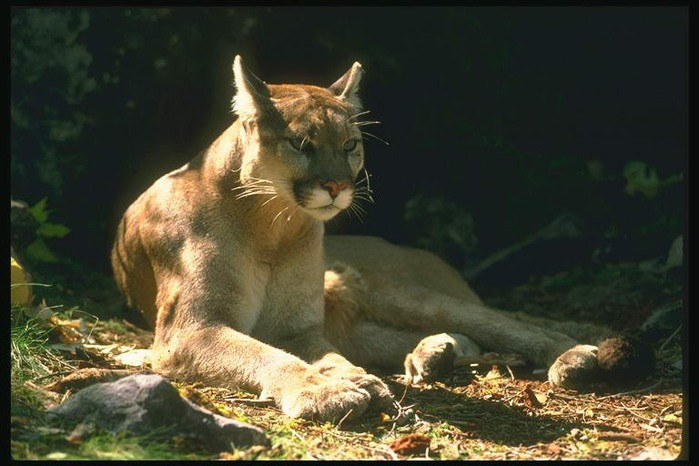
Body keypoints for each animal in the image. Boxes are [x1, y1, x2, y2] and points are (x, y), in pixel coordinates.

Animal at [110, 55, 652, 422]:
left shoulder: (294, 326)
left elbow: (308, 353)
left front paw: (342, 382)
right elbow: (266, 354)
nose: (335, 186)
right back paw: (432, 357)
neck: (272, 223)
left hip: (394, 290)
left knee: (507, 324)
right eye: (302, 143)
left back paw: (570, 357)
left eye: (350, 144)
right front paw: (332, 389)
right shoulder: (191, 330)